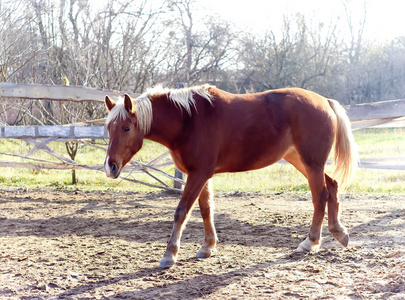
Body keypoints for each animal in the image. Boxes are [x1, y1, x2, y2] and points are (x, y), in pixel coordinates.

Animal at [104, 84, 356, 268]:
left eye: (126, 128)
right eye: (108, 128)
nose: (110, 167)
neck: (189, 120)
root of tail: (325, 101)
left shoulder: (198, 175)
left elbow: (181, 211)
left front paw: (169, 254)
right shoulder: (201, 175)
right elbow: (206, 209)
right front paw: (207, 247)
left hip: (311, 163)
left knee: (320, 196)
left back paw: (310, 242)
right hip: (301, 161)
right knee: (332, 185)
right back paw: (339, 232)